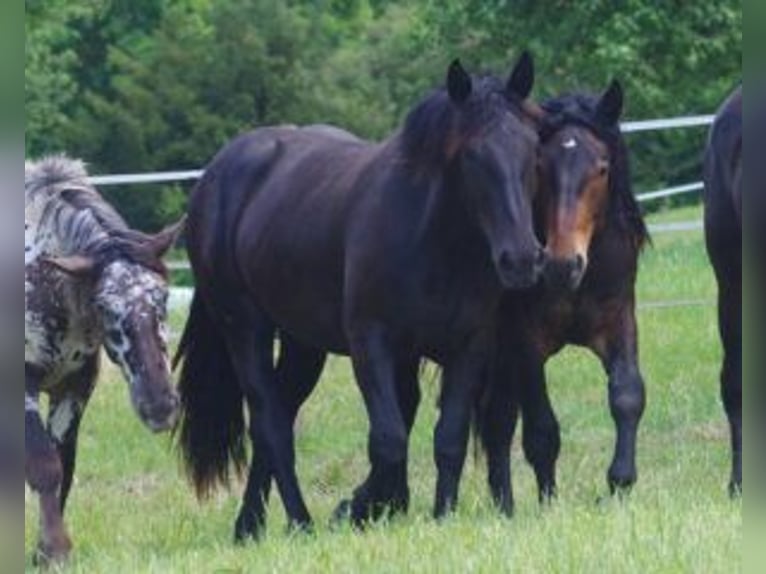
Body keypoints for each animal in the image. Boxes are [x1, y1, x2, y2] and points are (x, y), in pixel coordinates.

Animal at [25, 156, 183, 564]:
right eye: (104, 307)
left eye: (162, 297)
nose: (160, 406)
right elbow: (43, 464)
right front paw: (55, 549)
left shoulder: (74, 387)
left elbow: (64, 464)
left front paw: (43, 552)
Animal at [174, 53, 544, 540]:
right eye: (471, 154)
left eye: (532, 149)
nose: (521, 258)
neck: (433, 240)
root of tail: (215, 176)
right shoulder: (373, 344)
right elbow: (388, 441)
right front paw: (359, 508)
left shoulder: (468, 348)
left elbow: (448, 438)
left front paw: (438, 513)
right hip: (245, 328)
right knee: (271, 426)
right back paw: (300, 521)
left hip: (303, 345)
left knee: (279, 417)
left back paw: (250, 525)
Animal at [476, 80, 652, 512]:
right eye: (540, 167)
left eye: (602, 168)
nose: (561, 263)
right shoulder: (525, 343)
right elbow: (541, 429)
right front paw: (548, 503)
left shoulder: (620, 321)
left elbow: (628, 395)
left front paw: (620, 482)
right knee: (497, 421)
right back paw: (505, 506)